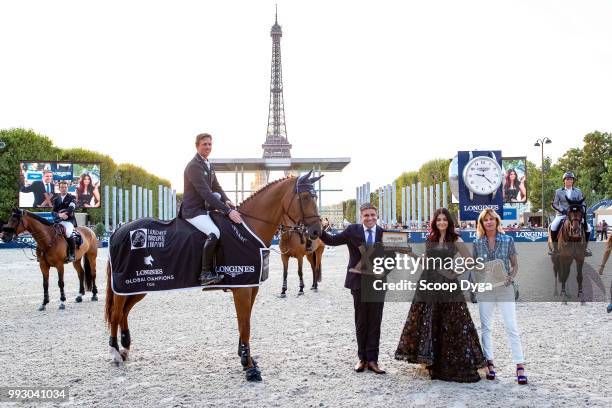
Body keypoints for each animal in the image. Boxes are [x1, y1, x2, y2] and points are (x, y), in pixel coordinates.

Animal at [104, 173, 326, 382]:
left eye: (315, 196)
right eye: (305, 197)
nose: (317, 231)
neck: (248, 229)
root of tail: (119, 229)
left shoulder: (251, 286)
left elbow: (245, 323)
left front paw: (246, 359)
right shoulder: (242, 289)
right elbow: (245, 325)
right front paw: (249, 367)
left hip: (138, 286)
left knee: (124, 312)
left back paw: (125, 346)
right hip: (127, 285)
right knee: (116, 313)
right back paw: (115, 352)